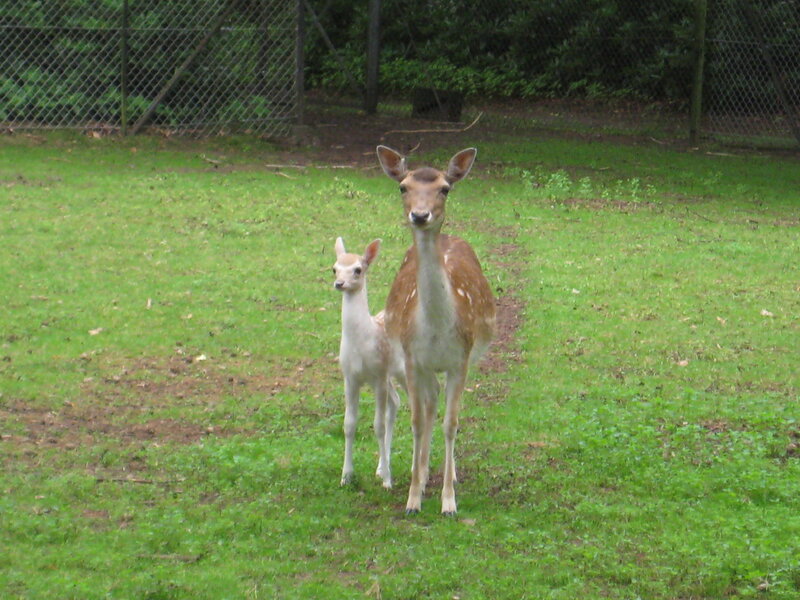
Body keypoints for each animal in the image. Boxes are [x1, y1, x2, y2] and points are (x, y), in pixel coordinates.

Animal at [332, 236, 404, 489]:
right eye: (334, 268)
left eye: (358, 269)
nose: (339, 283)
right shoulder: (351, 377)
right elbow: (349, 424)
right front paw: (346, 476)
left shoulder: (378, 376)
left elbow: (378, 426)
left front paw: (388, 482)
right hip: (389, 375)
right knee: (396, 401)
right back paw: (382, 466)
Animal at [376, 146, 496, 515]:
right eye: (403, 186)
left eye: (445, 188)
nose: (420, 215)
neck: (438, 329)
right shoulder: (415, 360)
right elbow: (417, 422)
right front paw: (413, 498)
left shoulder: (461, 360)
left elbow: (451, 423)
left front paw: (449, 502)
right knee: (429, 407)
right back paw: (425, 469)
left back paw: (447, 473)